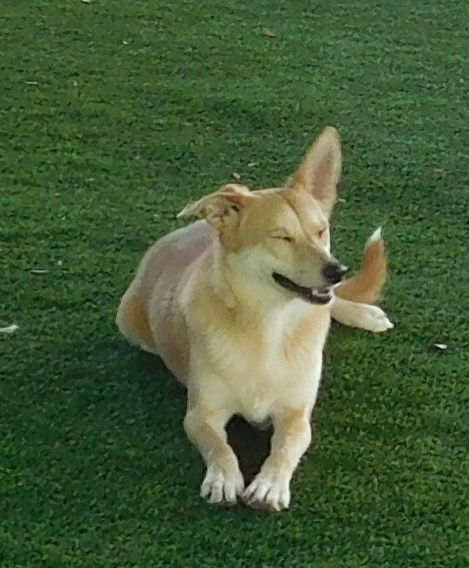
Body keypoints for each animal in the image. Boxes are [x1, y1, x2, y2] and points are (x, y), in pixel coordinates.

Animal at [116, 127, 392, 510]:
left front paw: (270, 484)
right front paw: (223, 478)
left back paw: (365, 313)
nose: (338, 270)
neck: (268, 325)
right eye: (282, 237)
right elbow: (219, 446)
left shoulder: (296, 414)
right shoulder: (201, 413)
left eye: (321, 231)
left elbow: (286, 447)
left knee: (333, 303)